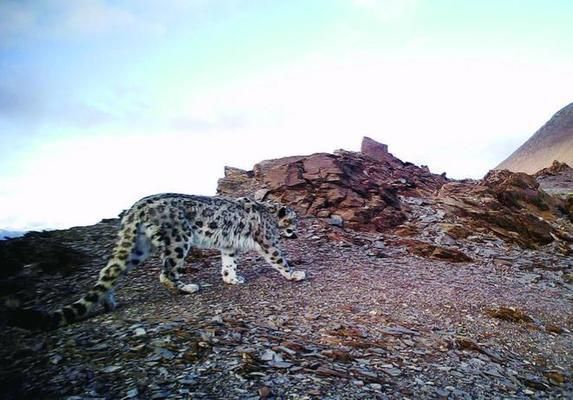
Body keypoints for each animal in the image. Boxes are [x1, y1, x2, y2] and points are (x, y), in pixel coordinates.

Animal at [8, 193, 304, 328]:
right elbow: (279, 257)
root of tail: (135, 207)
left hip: (138, 248)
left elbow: (228, 263)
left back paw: (109, 301)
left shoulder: (229, 246)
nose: (298, 231)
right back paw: (186, 288)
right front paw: (294, 274)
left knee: (108, 272)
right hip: (178, 240)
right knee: (166, 272)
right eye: (293, 220)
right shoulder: (268, 241)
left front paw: (233, 279)